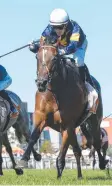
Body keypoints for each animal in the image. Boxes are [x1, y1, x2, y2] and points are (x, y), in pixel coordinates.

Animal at [16, 36, 107, 179]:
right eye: (37, 57)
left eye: (54, 58)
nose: (41, 83)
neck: (55, 93)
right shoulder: (41, 118)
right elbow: (33, 137)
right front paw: (23, 160)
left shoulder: (67, 125)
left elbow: (62, 152)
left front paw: (59, 175)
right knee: (77, 150)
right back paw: (79, 175)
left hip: (94, 121)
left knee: (96, 142)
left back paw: (102, 163)